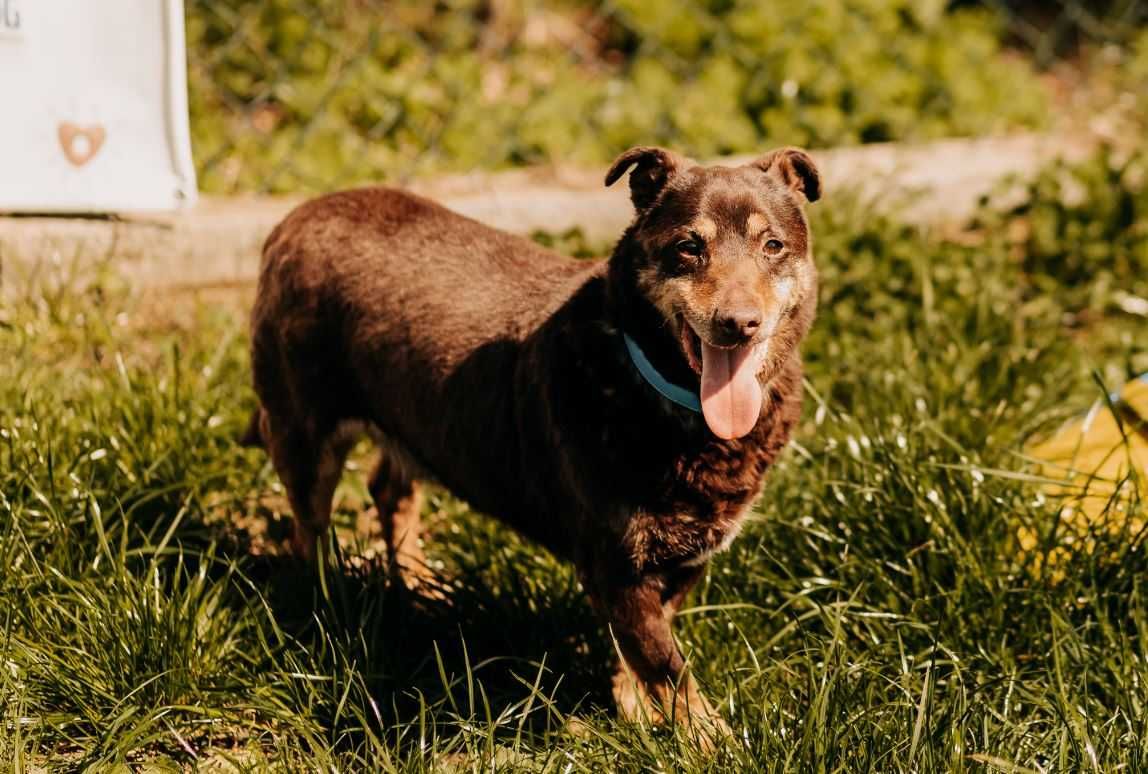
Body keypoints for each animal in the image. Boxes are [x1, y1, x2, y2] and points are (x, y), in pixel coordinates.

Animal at [249, 146, 826, 739]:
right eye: (690, 246)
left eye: (773, 246)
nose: (739, 323)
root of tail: (294, 216)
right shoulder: (613, 562)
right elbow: (670, 668)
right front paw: (710, 741)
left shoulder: (686, 557)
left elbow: (643, 647)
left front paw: (633, 704)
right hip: (303, 430)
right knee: (309, 529)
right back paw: (326, 599)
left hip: (414, 422)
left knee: (389, 488)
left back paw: (417, 581)